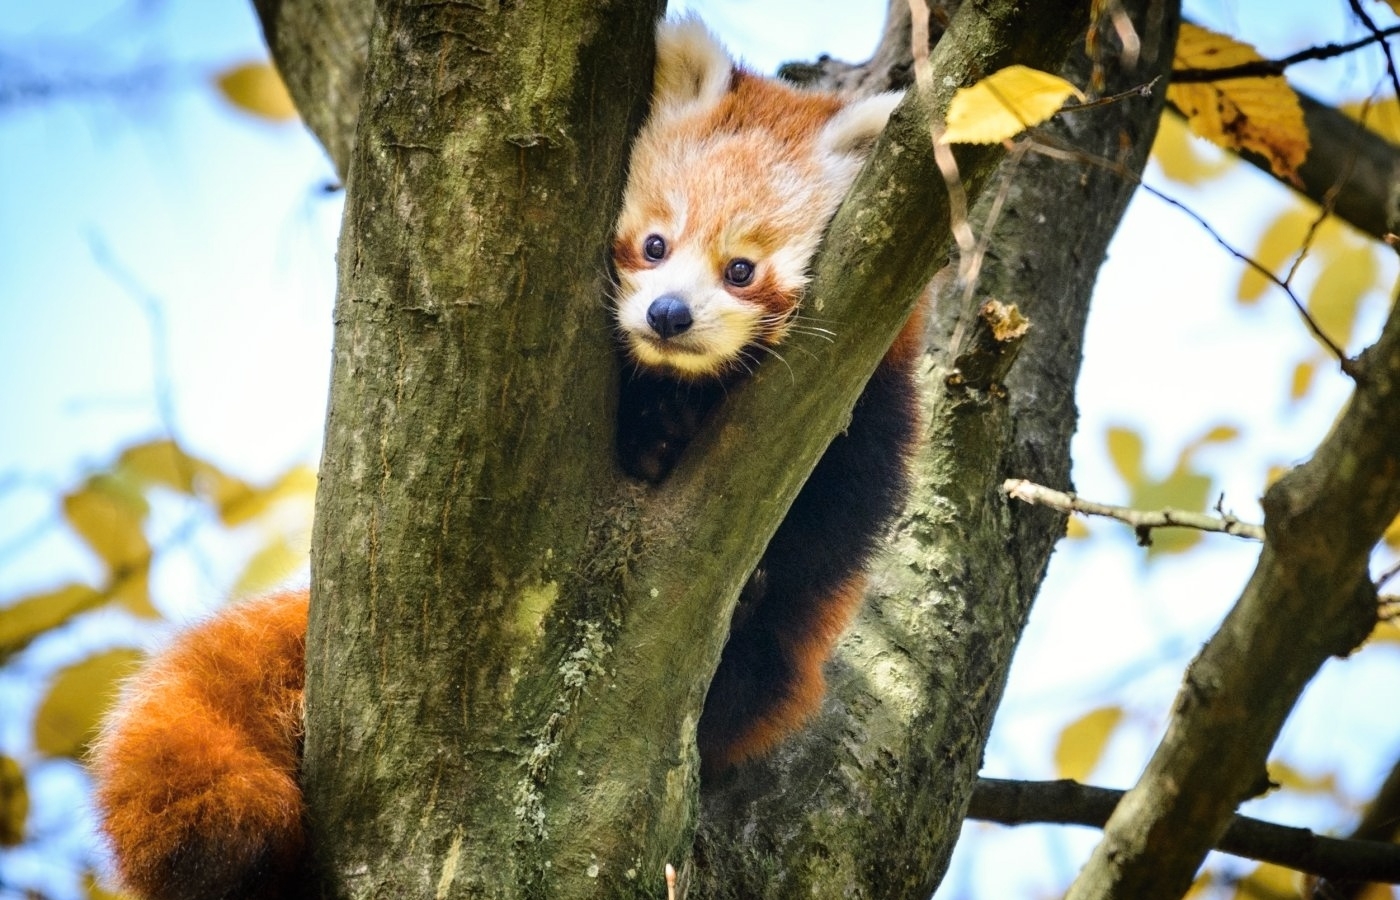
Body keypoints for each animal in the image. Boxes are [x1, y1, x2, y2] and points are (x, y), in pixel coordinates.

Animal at [84, 15, 918, 900]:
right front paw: (652, 436)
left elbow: (827, 524)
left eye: (741, 269)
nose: (667, 314)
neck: (690, 383)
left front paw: (752, 560)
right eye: (656, 244)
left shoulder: (866, 417)